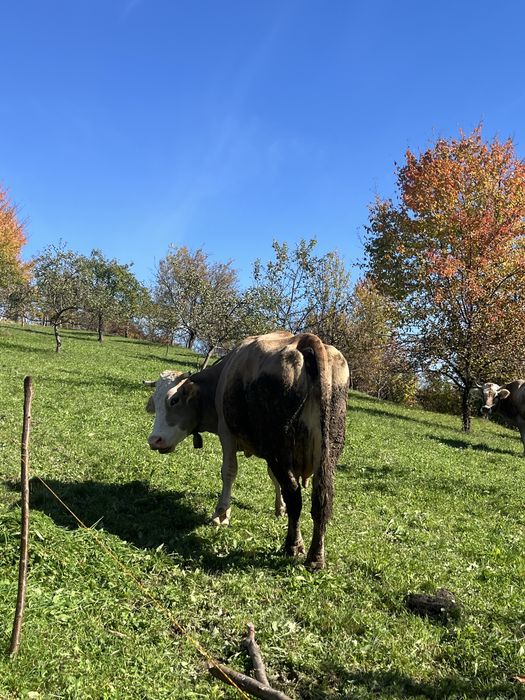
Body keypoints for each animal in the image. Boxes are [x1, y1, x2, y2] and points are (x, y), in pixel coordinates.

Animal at [144, 331, 350, 570]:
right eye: (155, 402)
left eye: (174, 400)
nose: (154, 440)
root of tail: (304, 340)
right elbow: (274, 480)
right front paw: (279, 508)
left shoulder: (227, 434)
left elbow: (229, 472)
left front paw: (221, 514)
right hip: (327, 451)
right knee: (321, 499)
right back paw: (316, 556)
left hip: (278, 449)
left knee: (295, 496)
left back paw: (293, 545)